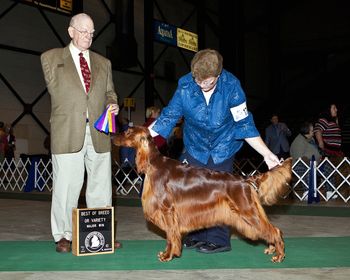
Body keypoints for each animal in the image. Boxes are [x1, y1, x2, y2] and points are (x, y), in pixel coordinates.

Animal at [114, 127, 292, 262]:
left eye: (128, 132)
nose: (113, 136)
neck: (154, 164)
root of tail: (245, 180)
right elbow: (170, 236)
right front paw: (168, 253)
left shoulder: (167, 210)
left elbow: (171, 236)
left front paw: (168, 255)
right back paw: (271, 248)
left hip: (248, 211)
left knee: (274, 230)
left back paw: (279, 255)